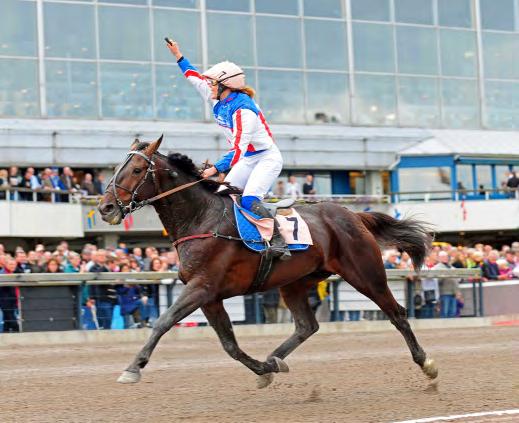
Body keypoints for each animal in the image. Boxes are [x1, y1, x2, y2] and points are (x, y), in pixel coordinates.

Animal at [98, 137, 438, 390]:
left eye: (137, 169)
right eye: (115, 168)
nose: (105, 207)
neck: (202, 218)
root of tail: (354, 215)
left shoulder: (202, 287)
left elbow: (163, 321)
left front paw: (133, 368)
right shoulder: (210, 297)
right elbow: (229, 345)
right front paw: (263, 369)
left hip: (365, 273)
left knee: (397, 314)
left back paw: (427, 364)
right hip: (296, 282)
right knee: (307, 325)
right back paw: (275, 359)